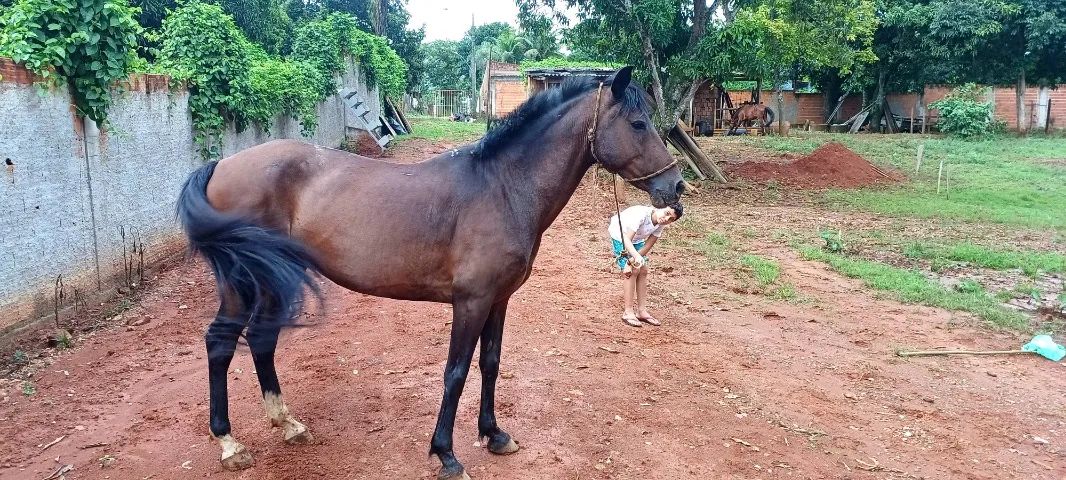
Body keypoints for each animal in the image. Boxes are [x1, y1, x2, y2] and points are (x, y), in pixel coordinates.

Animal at [176, 66, 684, 479]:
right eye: (638, 124)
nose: (675, 187)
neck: (503, 188)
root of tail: (221, 165)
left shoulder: (499, 299)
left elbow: (491, 363)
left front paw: (495, 435)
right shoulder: (471, 301)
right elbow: (455, 372)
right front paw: (447, 454)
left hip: (270, 280)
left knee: (261, 339)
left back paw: (288, 424)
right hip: (242, 282)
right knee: (221, 342)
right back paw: (229, 443)